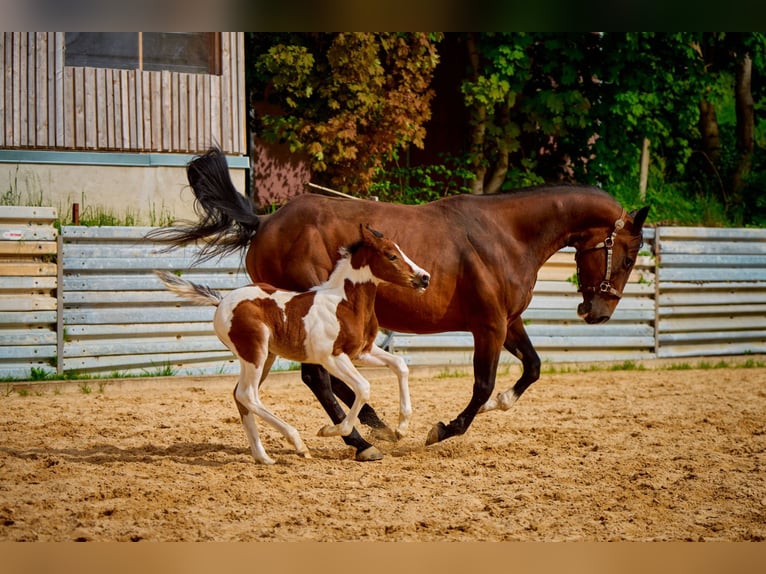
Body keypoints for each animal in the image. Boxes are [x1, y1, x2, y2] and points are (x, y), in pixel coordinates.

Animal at [156, 223, 432, 466]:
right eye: (391, 255)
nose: (424, 278)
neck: (344, 303)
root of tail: (221, 301)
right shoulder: (332, 357)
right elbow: (363, 387)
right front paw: (329, 430)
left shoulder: (361, 352)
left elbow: (399, 365)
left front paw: (401, 428)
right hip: (254, 353)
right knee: (247, 394)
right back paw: (298, 444)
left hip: (265, 356)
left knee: (240, 396)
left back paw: (263, 457)